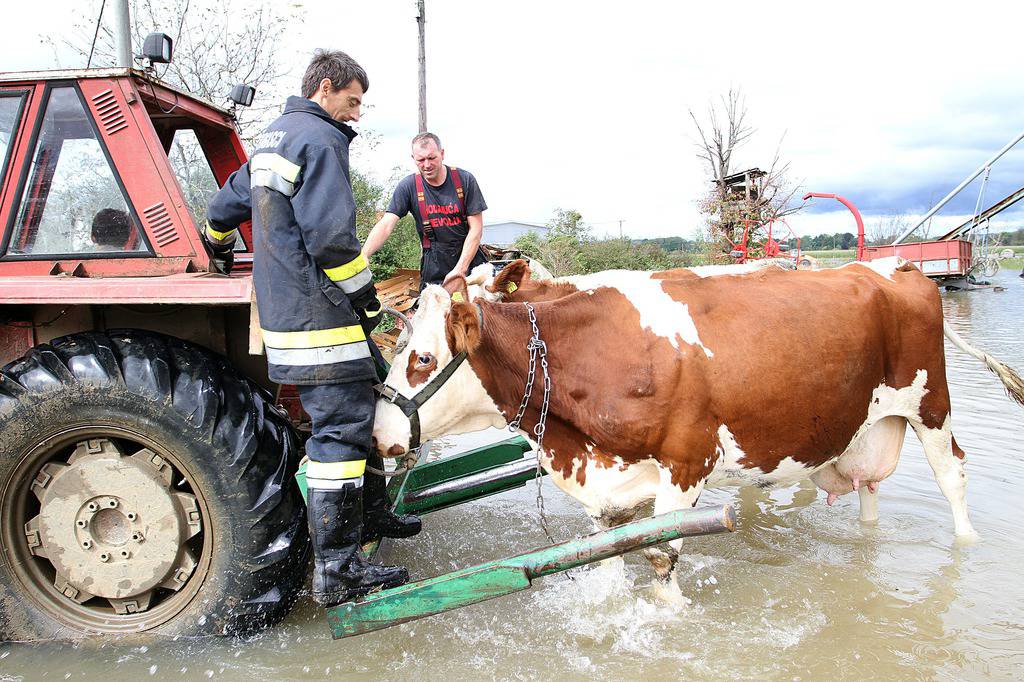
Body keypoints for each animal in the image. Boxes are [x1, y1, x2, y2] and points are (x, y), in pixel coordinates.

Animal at [374, 254, 1024, 593]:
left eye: (423, 358)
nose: (377, 435)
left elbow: (662, 561)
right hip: (865, 424)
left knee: (952, 476)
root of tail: (895, 264)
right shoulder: (605, 484)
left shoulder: (686, 466)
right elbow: (605, 559)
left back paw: (967, 546)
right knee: (868, 484)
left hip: (930, 405)